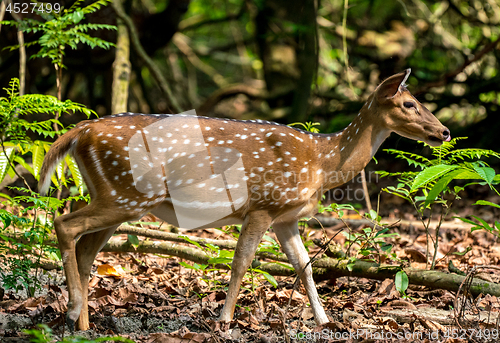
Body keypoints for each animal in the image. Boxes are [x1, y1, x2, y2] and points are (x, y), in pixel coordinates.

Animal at [41, 70, 452, 330]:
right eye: (410, 104)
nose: (445, 131)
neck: (322, 163)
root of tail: (80, 131)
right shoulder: (264, 205)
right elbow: (241, 263)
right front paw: (224, 320)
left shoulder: (287, 216)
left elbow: (305, 266)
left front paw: (326, 321)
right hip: (124, 193)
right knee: (64, 224)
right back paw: (73, 310)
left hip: (118, 196)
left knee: (86, 250)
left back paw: (84, 323)